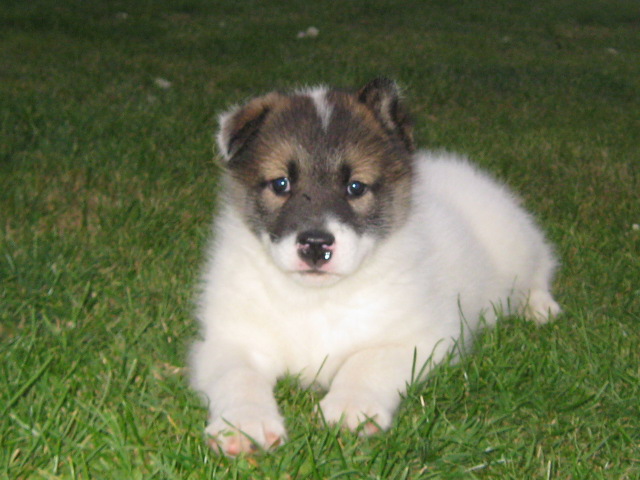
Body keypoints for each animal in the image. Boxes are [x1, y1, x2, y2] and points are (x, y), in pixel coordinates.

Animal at [189, 78, 560, 454]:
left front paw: (350, 407)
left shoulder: (420, 340)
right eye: (281, 183)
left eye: (356, 187)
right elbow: (239, 376)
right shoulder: (228, 341)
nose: (315, 245)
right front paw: (243, 424)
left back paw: (539, 307)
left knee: (541, 265)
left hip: (515, 244)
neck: (315, 300)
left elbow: (365, 362)